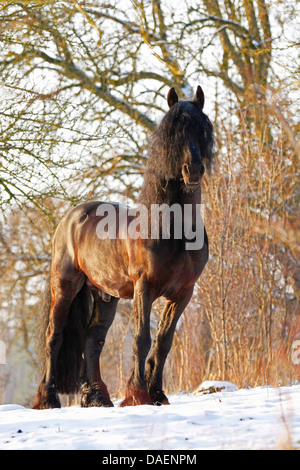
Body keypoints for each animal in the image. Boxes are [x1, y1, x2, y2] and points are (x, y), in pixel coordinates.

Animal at [32, 86, 213, 410]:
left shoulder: (183, 293)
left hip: (106, 296)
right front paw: (138, 395)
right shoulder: (145, 287)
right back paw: (49, 399)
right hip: (64, 286)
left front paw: (158, 394)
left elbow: (163, 342)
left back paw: (97, 398)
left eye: (202, 129)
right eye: (172, 132)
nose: (192, 169)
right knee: (54, 336)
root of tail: (71, 217)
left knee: (92, 341)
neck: (172, 227)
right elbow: (142, 338)